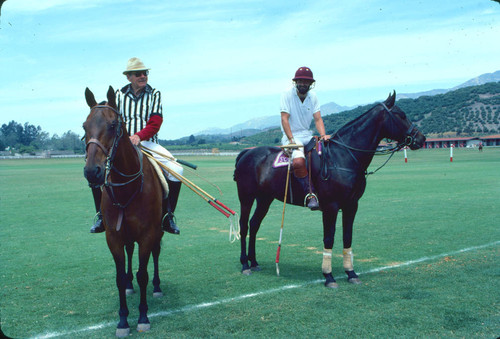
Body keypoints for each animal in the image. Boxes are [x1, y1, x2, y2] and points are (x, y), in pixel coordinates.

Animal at [83, 85, 163, 338]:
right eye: (84, 126)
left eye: (112, 125)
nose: (92, 172)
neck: (127, 187)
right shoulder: (114, 236)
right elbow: (118, 277)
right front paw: (122, 320)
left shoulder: (148, 234)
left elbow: (143, 273)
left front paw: (143, 317)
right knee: (130, 252)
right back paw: (129, 285)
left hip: (159, 231)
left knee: (156, 253)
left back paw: (157, 287)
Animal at [234, 91, 426, 288]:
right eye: (401, 115)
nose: (421, 138)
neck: (343, 156)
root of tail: (246, 153)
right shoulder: (331, 207)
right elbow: (329, 238)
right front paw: (329, 276)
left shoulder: (351, 205)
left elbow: (347, 237)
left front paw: (351, 273)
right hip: (246, 197)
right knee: (244, 224)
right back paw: (245, 264)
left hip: (265, 198)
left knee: (254, 224)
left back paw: (254, 262)